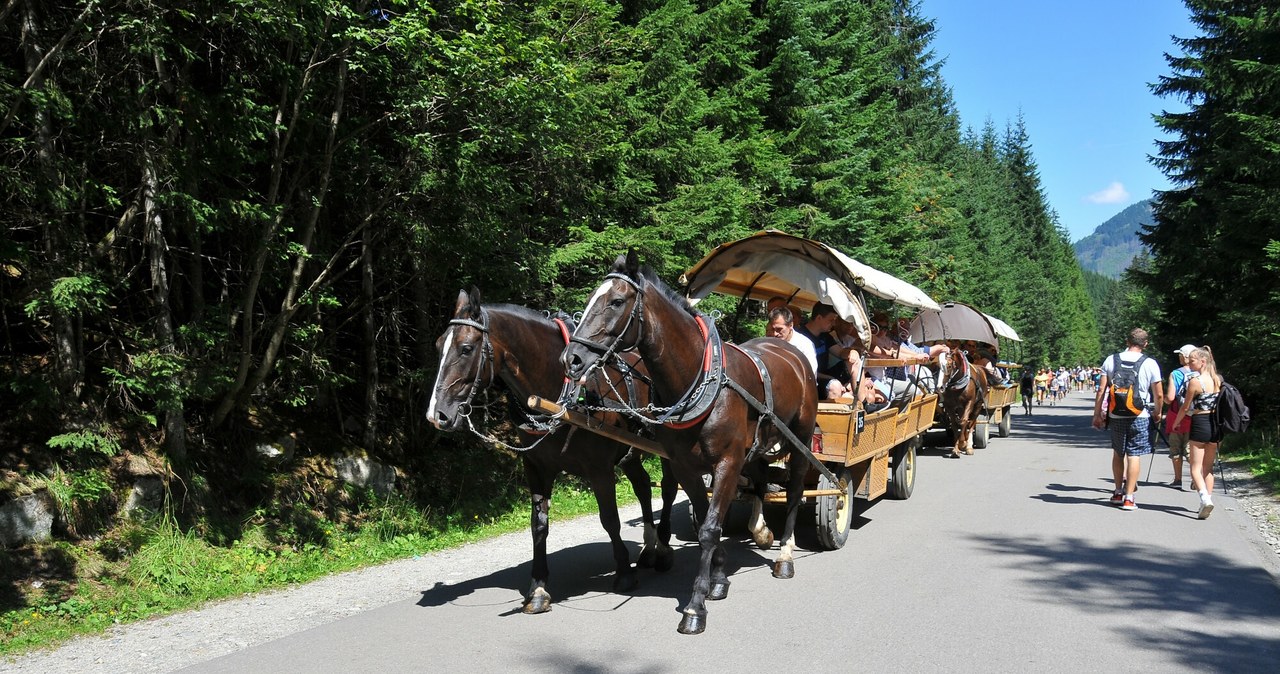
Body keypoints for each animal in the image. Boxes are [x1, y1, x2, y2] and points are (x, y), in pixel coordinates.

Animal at [427, 287, 675, 613]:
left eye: (467, 348)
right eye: (438, 346)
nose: (437, 415)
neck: (560, 394)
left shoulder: (599, 469)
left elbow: (610, 519)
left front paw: (623, 573)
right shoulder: (536, 468)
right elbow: (538, 525)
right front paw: (538, 589)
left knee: (668, 488)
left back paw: (663, 547)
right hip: (629, 451)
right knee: (644, 486)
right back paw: (648, 548)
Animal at [563, 253, 819, 639]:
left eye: (616, 301)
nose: (572, 358)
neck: (700, 379)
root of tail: (791, 350)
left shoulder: (726, 462)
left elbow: (712, 527)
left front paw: (696, 606)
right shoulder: (685, 464)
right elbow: (705, 523)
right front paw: (719, 579)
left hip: (800, 437)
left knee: (795, 489)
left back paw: (785, 555)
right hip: (759, 442)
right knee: (761, 477)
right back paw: (760, 531)